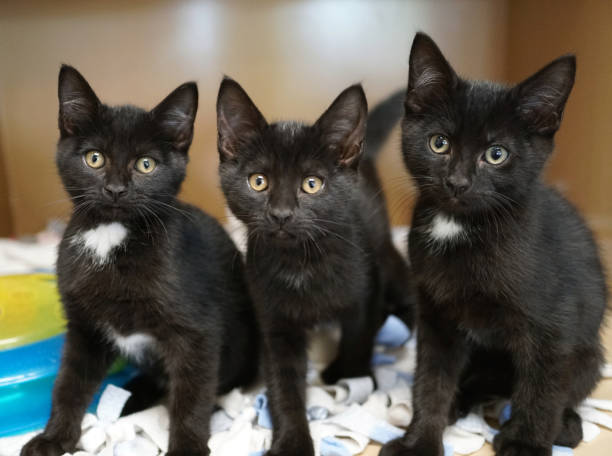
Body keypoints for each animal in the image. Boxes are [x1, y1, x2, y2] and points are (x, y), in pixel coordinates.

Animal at [21, 65, 258, 456]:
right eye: (94, 158)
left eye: (146, 164)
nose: (116, 190)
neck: (111, 236)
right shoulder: (84, 329)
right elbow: (69, 383)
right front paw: (53, 438)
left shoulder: (198, 333)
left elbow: (192, 396)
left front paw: (188, 447)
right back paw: (130, 396)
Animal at [216, 80, 416, 454]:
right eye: (258, 181)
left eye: (312, 184)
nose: (281, 214)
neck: (301, 263)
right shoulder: (275, 323)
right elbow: (284, 383)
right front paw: (292, 440)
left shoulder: (364, 293)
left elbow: (358, 339)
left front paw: (351, 376)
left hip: (382, 249)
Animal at [382, 33, 608, 456]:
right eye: (439, 144)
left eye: (496, 154)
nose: (457, 182)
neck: (459, 227)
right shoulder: (435, 316)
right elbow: (431, 380)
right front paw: (420, 440)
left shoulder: (555, 326)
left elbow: (542, 388)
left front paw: (526, 443)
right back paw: (460, 404)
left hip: (590, 354)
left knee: (563, 388)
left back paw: (566, 425)